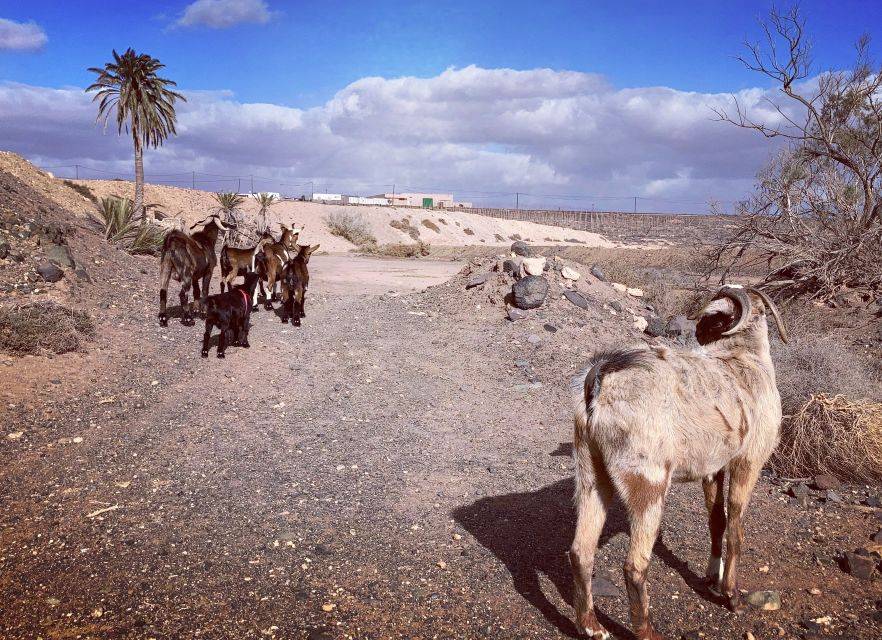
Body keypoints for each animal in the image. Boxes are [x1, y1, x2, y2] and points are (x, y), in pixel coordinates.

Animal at [568, 286, 788, 640]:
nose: (697, 331)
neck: (745, 359)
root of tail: (599, 383)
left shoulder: (713, 468)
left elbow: (716, 521)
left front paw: (711, 577)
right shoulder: (748, 461)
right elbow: (735, 528)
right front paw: (731, 595)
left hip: (591, 471)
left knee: (580, 552)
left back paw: (592, 627)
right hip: (648, 482)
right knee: (634, 565)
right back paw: (646, 631)